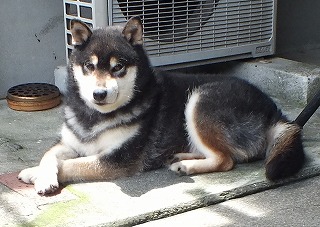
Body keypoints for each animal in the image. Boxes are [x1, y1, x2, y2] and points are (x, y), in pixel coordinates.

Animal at [18, 16, 304, 194]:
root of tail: (274, 110)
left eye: (118, 67)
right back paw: (181, 156)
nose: (99, 94)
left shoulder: (117, 159)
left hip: (200, 100)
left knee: (226, 160)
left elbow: (72, 165)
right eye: (89, 65)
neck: (94, 117)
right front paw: (37, 172)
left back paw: (188, 166)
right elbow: (49, 155)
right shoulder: (70, 143)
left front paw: (40, 178)